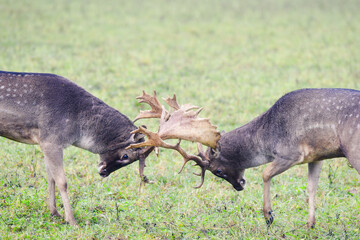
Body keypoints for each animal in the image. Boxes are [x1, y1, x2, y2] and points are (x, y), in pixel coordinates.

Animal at [0, 70, 154, 226]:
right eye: (125, 156)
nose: (103, 172)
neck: (78, 129)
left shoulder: (46, 143)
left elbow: (51, 178)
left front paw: (55, 213)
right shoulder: (50, 140)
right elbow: (62, 181)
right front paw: (72, 220)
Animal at [127, 88, 360, 229]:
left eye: (218, 170)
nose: (239, 186)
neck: (267, 137)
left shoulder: (291, 152)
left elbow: (265, 173)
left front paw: (268, 216)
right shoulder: (316, 156)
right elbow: (312, 187)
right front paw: (310, 224)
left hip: (353, 150)